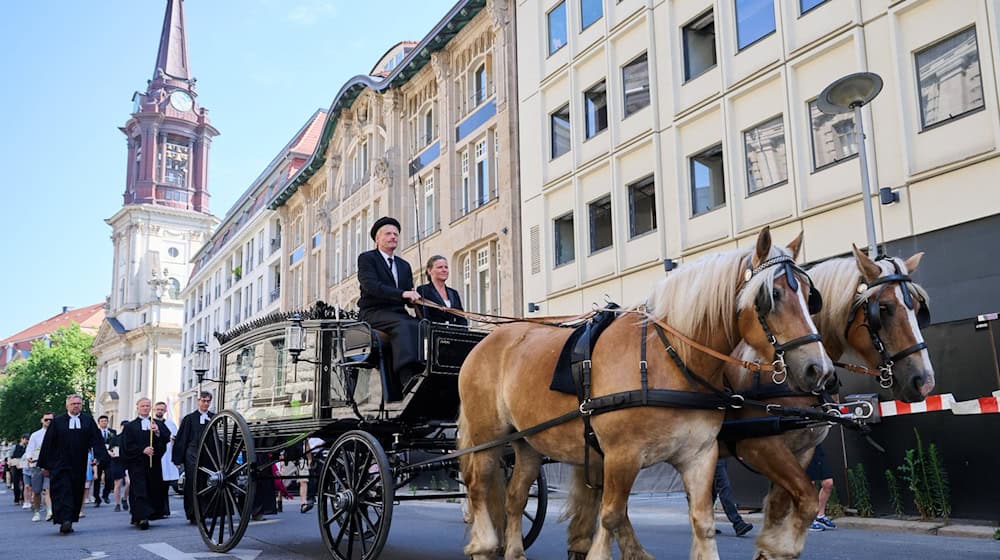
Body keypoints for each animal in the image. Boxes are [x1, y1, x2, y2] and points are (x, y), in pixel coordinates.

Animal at [458, 229, 832, 560]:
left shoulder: (700, 455)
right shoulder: (622, 456)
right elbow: (611, 515)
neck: (669, 359)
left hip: (528, 444)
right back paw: (484, 545)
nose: (819, 370)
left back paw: (515, 551)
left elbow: (702, 521)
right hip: (489, 438)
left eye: (810, 296)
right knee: (478, 486)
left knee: (515, 498)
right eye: (772, 296)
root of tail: (486, 342)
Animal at [724, 246, 932, 560]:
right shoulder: (759, 446)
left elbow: (780, 511)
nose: (924, 381)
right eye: (883, 308)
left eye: (919, 309)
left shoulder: (801, 451)